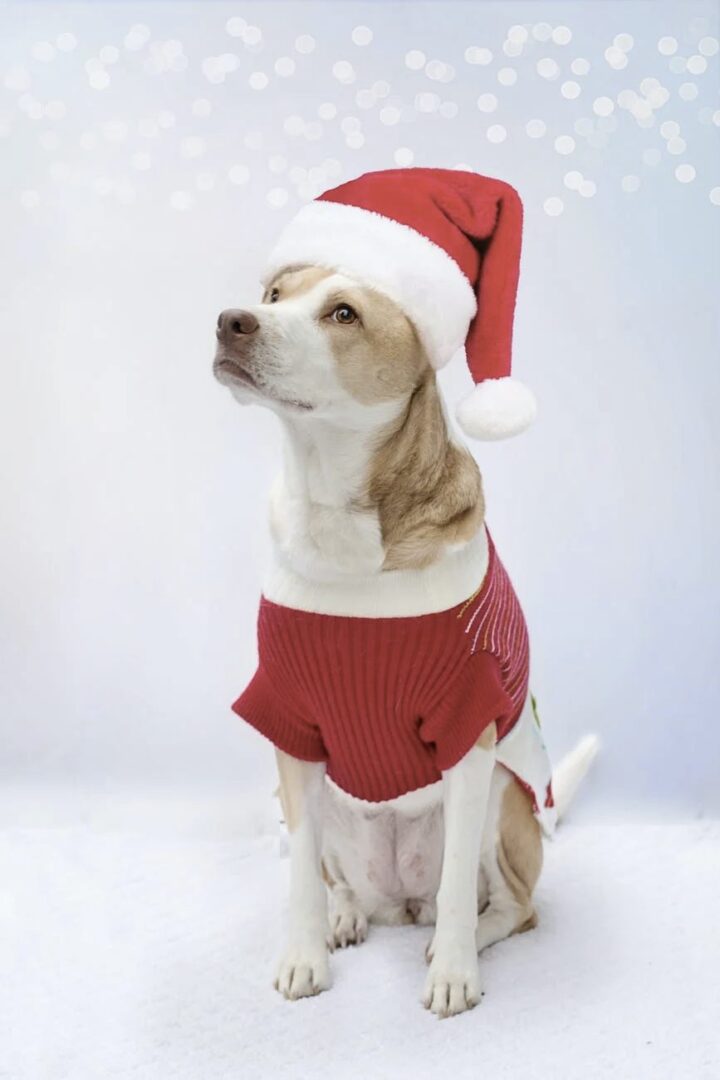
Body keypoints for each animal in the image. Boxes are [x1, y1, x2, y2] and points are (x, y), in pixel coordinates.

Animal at [212, 263, 595, 1019]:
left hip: (505, 795)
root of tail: (400, 903)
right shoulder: (291, 725)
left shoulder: (468, 726)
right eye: (274, 296)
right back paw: (346, 915)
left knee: (507, 904)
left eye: (343, 314)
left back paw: (462, 935)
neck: (338, 521)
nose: (230, 321)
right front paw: (304, 957)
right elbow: (300, 877)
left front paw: (453, 972)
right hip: (330, 807)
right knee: (339, 880)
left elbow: (457, 880)